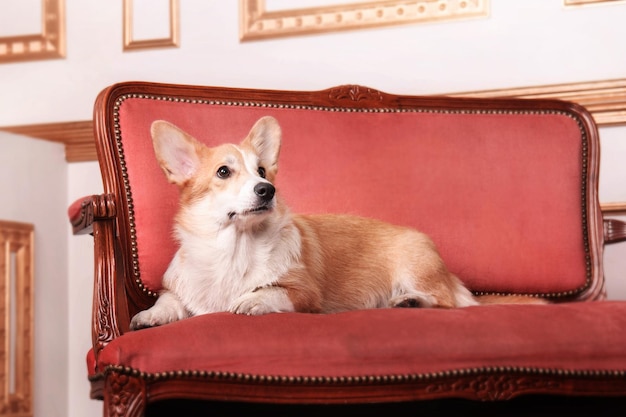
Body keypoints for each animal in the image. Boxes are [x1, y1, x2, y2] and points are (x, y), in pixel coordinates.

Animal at [129, 116, 540, 328]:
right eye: (223, 172)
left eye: (262, 171)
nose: (267, 190)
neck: (235, 249)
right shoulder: (179, 291)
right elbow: (168, 302)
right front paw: (147, 315)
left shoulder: (303, 293)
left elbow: (272, 291)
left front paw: (252, 300)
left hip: (416, 267)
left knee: (449, 304)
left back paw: (411, 302)